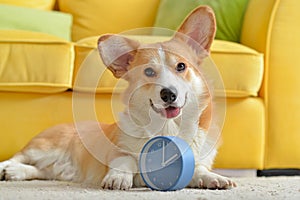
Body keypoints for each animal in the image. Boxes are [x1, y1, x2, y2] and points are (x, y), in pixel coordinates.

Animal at [0, 6, 234, 191]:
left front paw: (215, 178)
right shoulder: (117, 151)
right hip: (43, 148)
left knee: (37, 169)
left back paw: (15, 173)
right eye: (149, 72)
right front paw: (118, 179)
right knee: (17, 156)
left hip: (50, 167)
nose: (169, 94)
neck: (167, 127)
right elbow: (125, 161)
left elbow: (199, 169)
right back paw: (5, 168)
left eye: (181, 66)